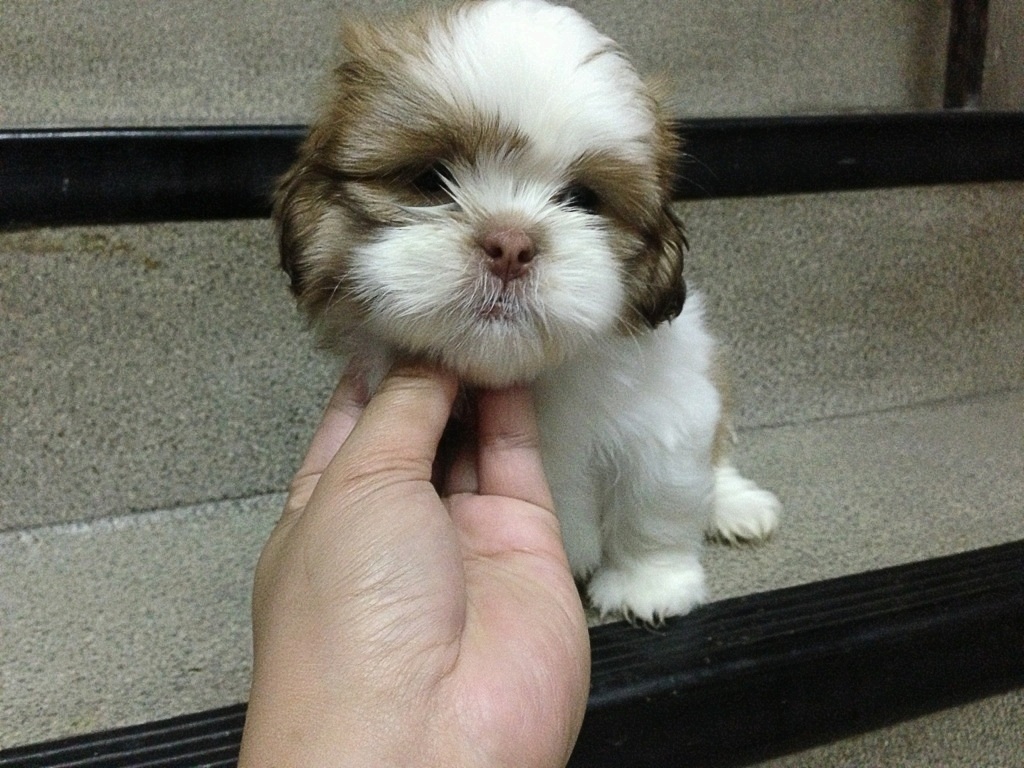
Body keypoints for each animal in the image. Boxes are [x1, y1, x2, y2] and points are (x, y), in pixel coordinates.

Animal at [275, 0, 780, 622]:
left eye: (582, 199)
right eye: (432, 180)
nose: (510, 245)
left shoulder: (668, 414)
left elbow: (654, 501)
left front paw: (649, 584)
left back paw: (736, 504)